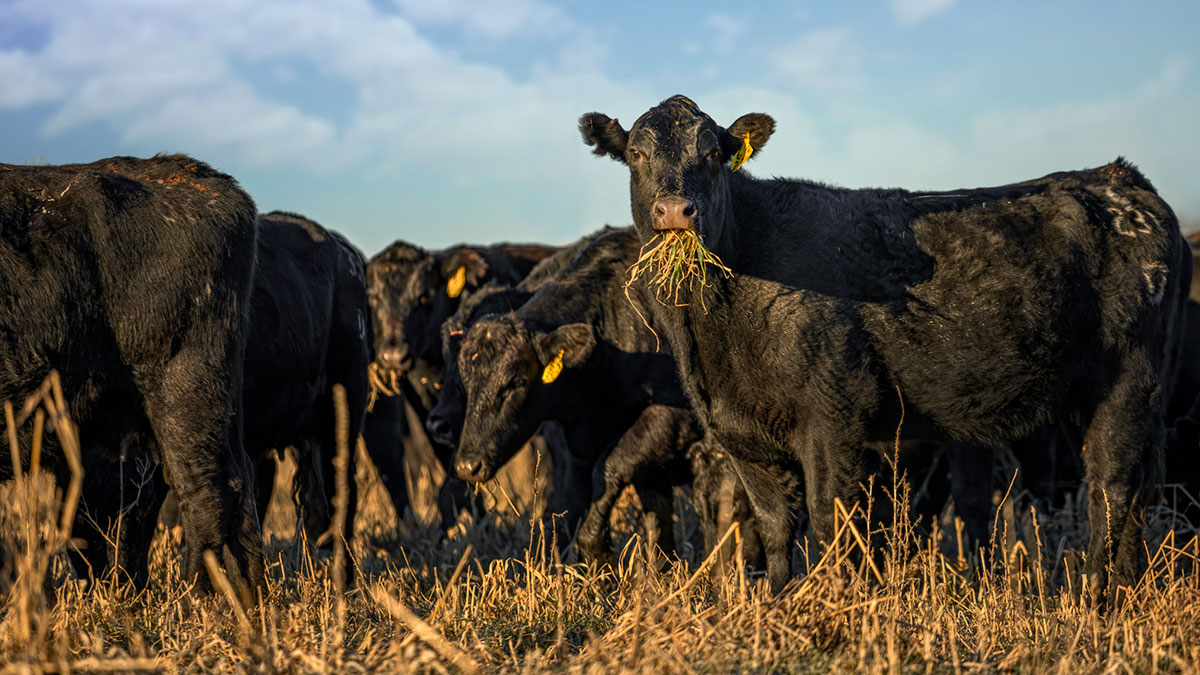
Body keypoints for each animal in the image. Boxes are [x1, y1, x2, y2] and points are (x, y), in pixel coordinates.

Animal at [578, 96, 1190, 598]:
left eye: (712, 154)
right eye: (636, 153)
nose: (676, 212)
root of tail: (1119, 179)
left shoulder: (833, 416)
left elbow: (830, 519)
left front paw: (831, 605)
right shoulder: (739, 432)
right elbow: (775, 526)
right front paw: (776, 604)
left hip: (1128, 381)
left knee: (1111, 487)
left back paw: (1095, 597)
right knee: (1138, 490)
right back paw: (1128, 591)